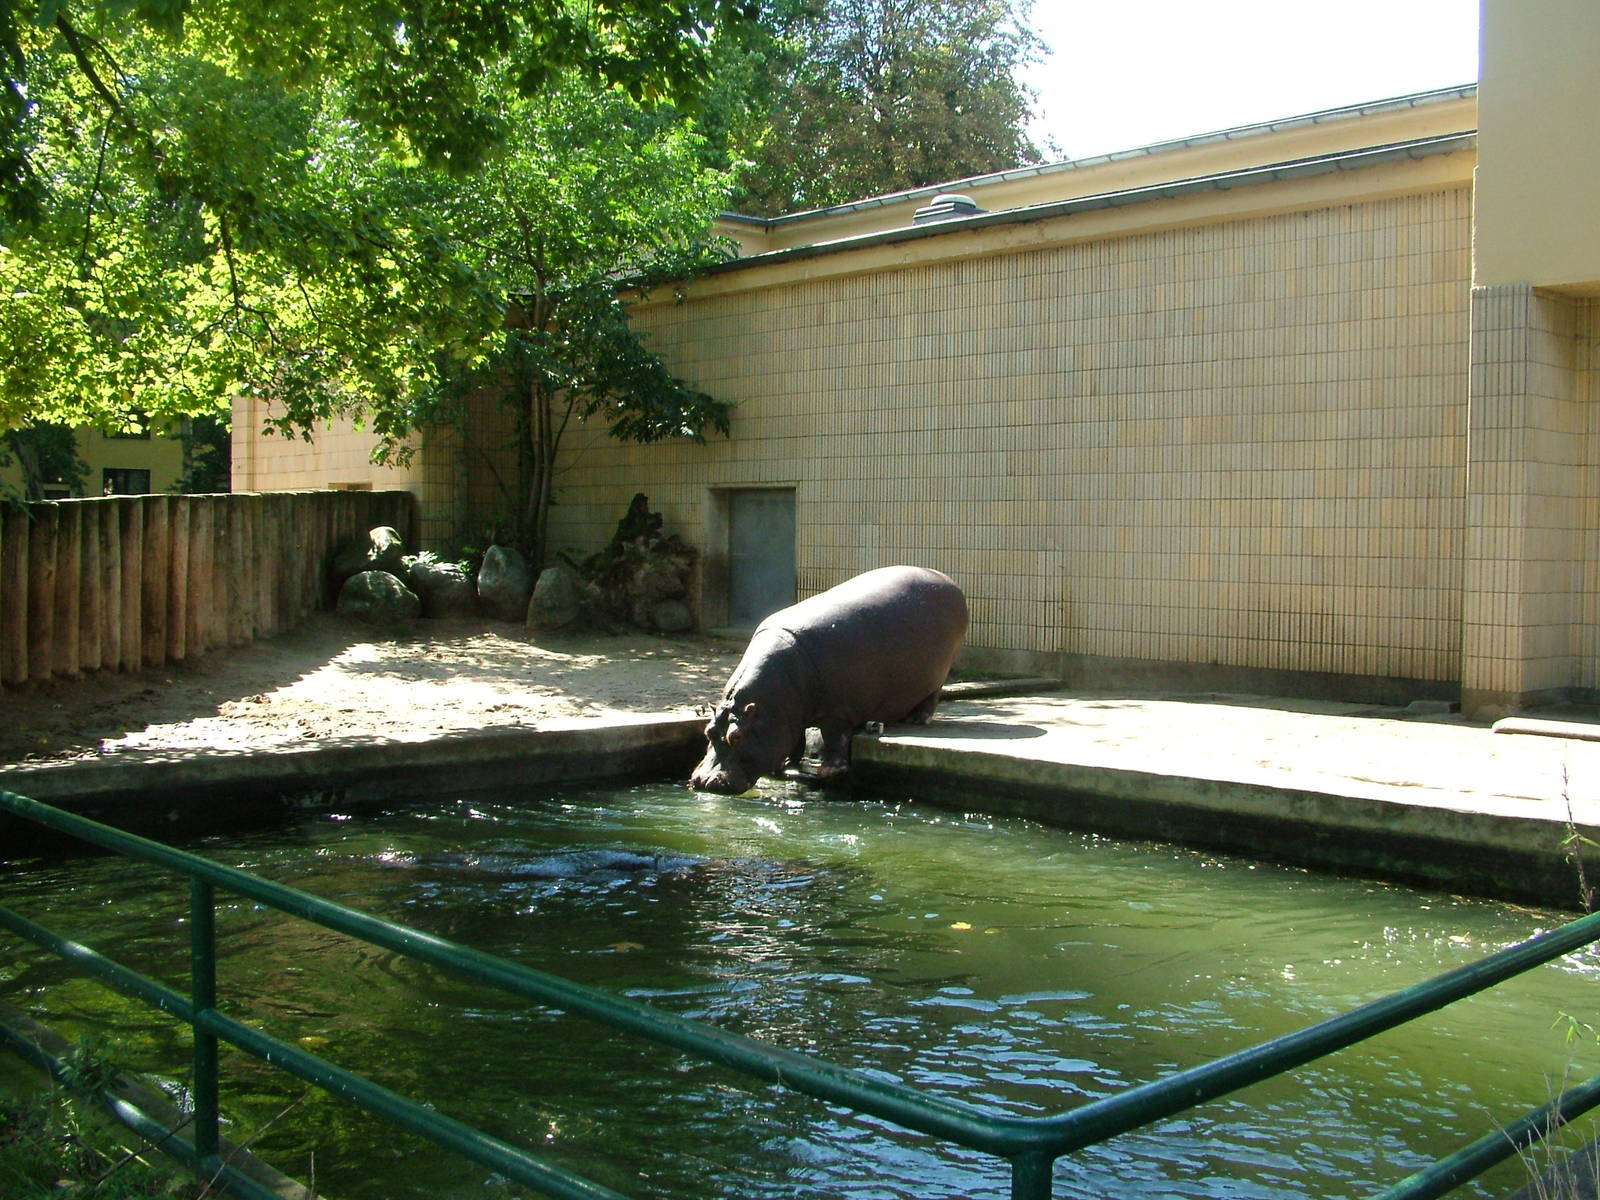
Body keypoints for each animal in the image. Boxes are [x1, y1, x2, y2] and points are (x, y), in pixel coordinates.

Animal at [690, 565, 968, 794]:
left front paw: (827, 771)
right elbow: (796, 738)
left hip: (939, 673)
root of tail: (949, 580)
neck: (768, 706)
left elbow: (834, 738)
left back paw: (918, 719)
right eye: (708, 731)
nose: (703, 781)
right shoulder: (790, 715)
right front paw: (787, 763)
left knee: (931, 697)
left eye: (736, 736)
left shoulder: (837, 712)